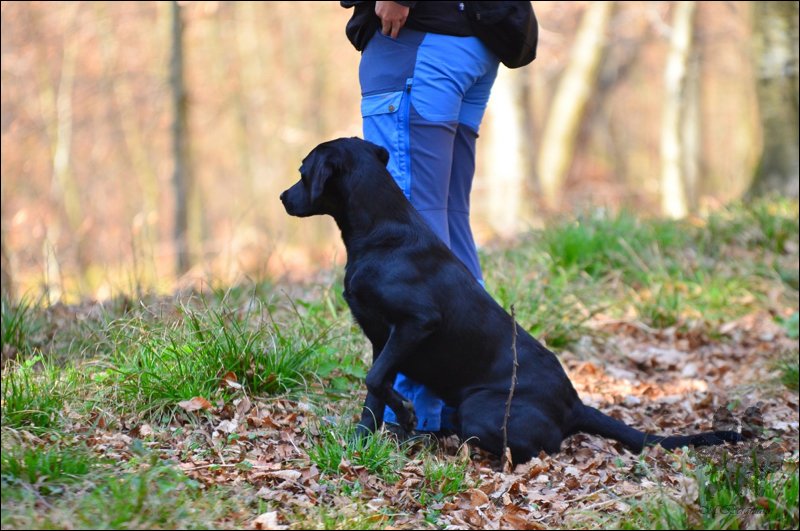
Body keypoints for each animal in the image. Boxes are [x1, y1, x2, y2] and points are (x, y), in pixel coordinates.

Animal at [281, 137, 743, 463]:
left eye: (303, 171)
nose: (283, 198)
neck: (380, 230)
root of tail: (574, 406)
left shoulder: (416, 322)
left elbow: (374, 379)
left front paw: (406, 415)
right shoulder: (382, 338)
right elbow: (373, 394)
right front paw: (360, 443)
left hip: (479, 407)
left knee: (534, 446)